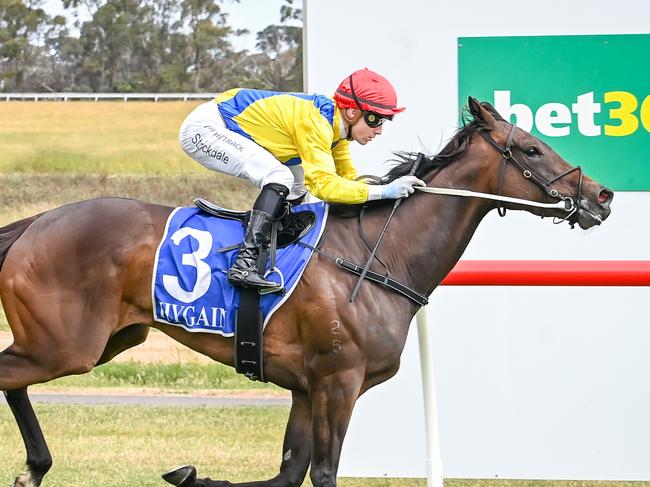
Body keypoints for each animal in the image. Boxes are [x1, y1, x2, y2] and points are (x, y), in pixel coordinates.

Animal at [0, 97, 612, 486]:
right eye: (530, 149)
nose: (602, 195)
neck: (378, 255)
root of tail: (36, 222)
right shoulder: (338, 383)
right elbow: (321, 473)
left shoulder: (304, 387)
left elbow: (287, 473)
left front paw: (191, 475)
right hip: (65, 346)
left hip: (106, 341)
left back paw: (36, 466)